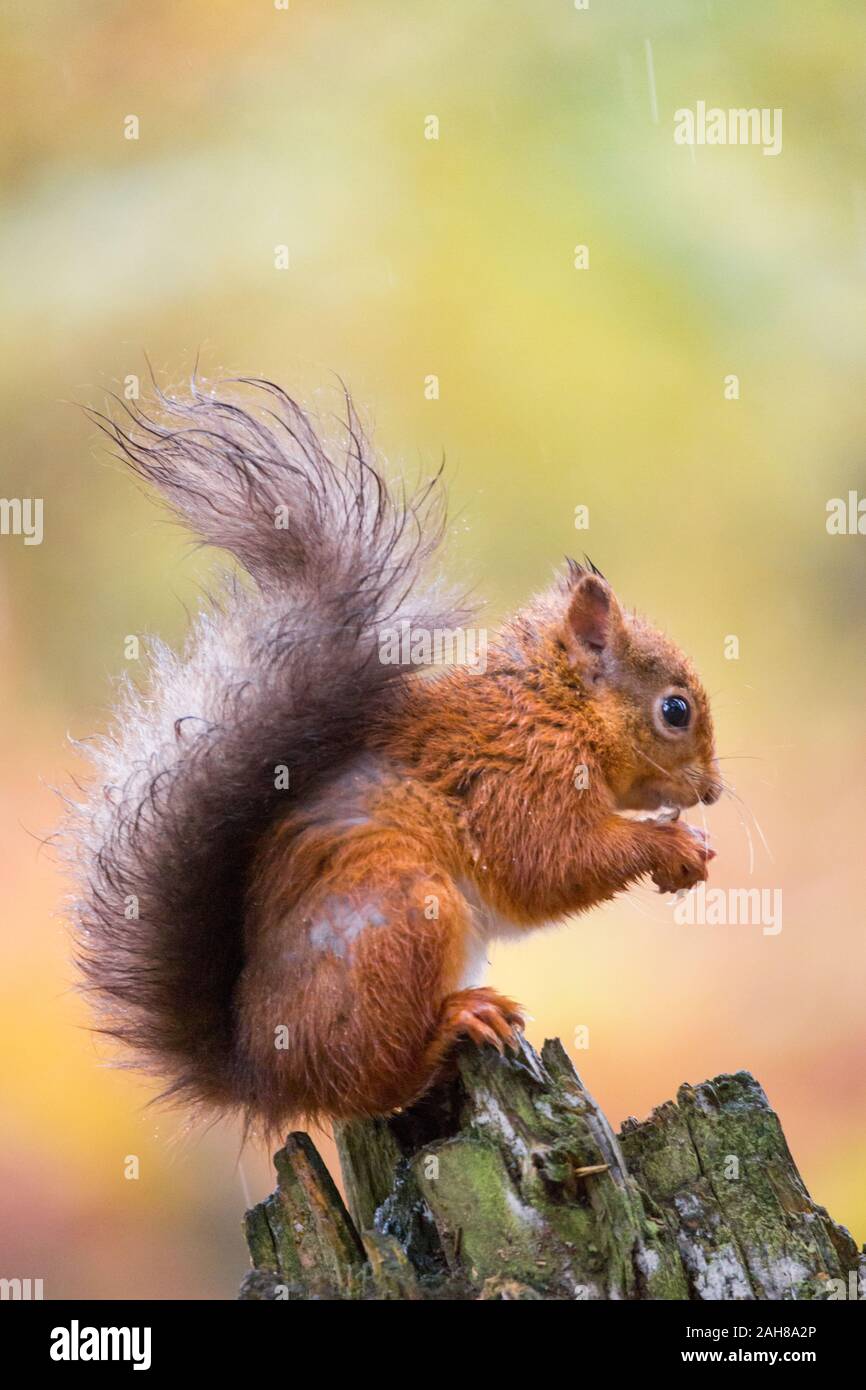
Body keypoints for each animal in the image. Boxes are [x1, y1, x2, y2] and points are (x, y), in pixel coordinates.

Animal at [66, 378, 717, 1128]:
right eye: (675, 711)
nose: (712, 791)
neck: (553, 710)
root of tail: (264, 1074)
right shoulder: (514, 779)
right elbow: (545, 864)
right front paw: (672, 844)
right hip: (404, 915)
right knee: (374, 1086)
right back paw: (457, 1021)